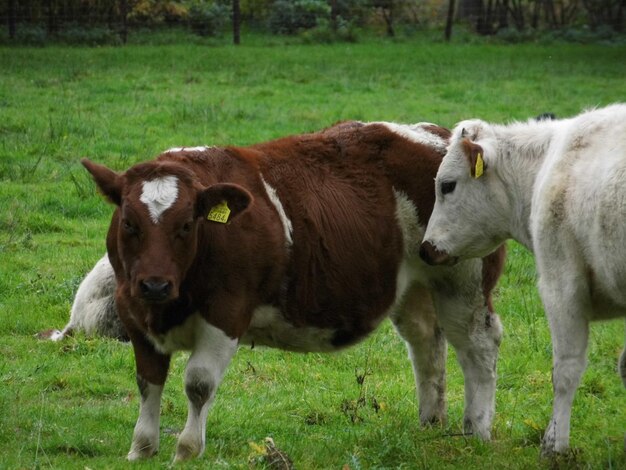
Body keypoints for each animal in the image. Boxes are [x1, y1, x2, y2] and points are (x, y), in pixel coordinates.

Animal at [64, 122, 502, 462]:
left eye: (187, 225)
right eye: (129, 222)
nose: (155, 283)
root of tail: (443, 135)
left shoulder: (226, 314)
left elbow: (198, 383)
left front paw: (186, 450)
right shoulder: (132, 310)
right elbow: (148, 381)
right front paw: (142, 447)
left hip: (464, 283)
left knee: (478, 344)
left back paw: (476, 429)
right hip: (415, 290)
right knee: (427, 344)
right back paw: (430, 421)